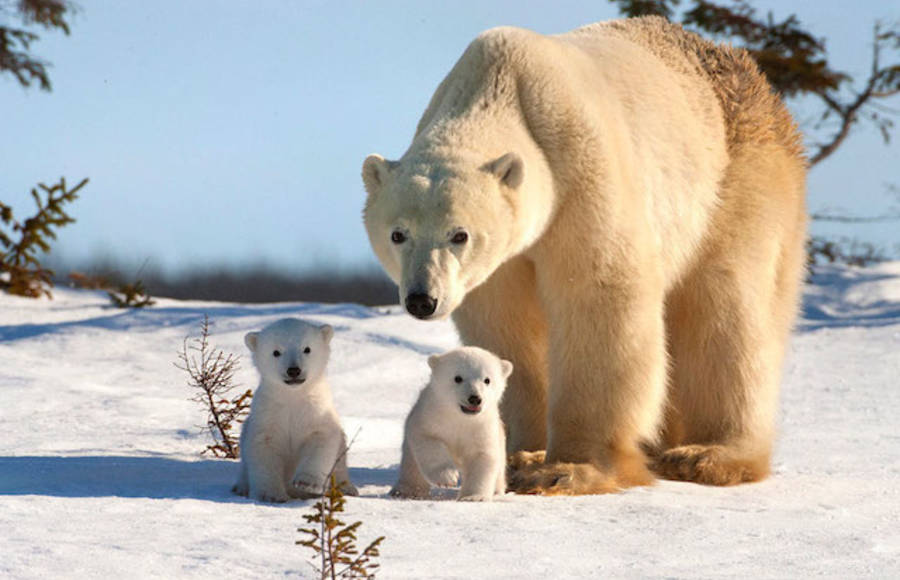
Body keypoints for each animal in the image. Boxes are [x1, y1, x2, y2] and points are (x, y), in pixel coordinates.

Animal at [362, 17, 804, 494]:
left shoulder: (580, 173)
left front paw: (567, 469)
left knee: (726, 311)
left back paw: (707, 455)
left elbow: (599, 297)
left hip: (736, 182)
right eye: (398, 234)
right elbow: (506, 325)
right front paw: (522, 453)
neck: (501, 86)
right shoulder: (499, 264)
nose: (422, 300)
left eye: (459, 234)